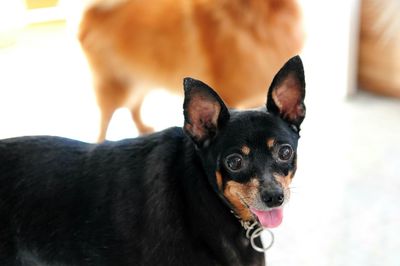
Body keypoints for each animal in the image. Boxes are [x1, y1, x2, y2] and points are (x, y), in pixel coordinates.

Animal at [79, 0, 304, 141]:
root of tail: (92, 12)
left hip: (140, 81)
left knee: (134, 106)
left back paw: (143, 128)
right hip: (117, 85)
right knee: (106, 118)